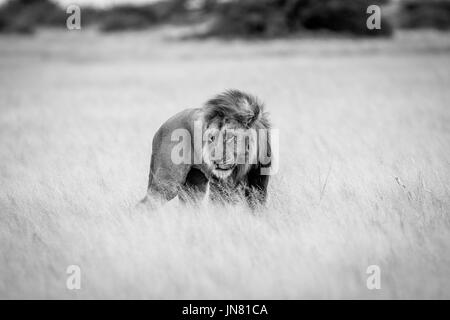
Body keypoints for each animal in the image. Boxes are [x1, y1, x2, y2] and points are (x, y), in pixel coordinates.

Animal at [142, 89, 272, 210]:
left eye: (229, 137)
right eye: (212, 138)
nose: (215, 160)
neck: (244, 165)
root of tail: (162, 127)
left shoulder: (259, 183)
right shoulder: (220, 185)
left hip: (194, 185)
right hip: (168, 182)